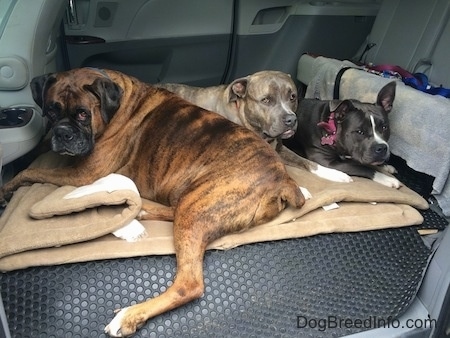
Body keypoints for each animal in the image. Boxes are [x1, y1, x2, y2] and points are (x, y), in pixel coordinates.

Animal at [0, 68, 304, 336]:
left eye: (83, 114)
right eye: (51, 111)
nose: (62, 133)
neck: (116, 103)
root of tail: (282, 178)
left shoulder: (83, 173)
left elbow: (30, 172)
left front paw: (6, 189)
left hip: (196, 208)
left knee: (188, 284)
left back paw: (130, 314)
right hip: (190, 199)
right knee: (169, 211)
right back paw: (138, 211)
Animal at [156, 69, 354, 182]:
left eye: (292, 97)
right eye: (266, 100)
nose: (291, 120)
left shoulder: (281, 148)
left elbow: (307, 162)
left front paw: (335, 174)